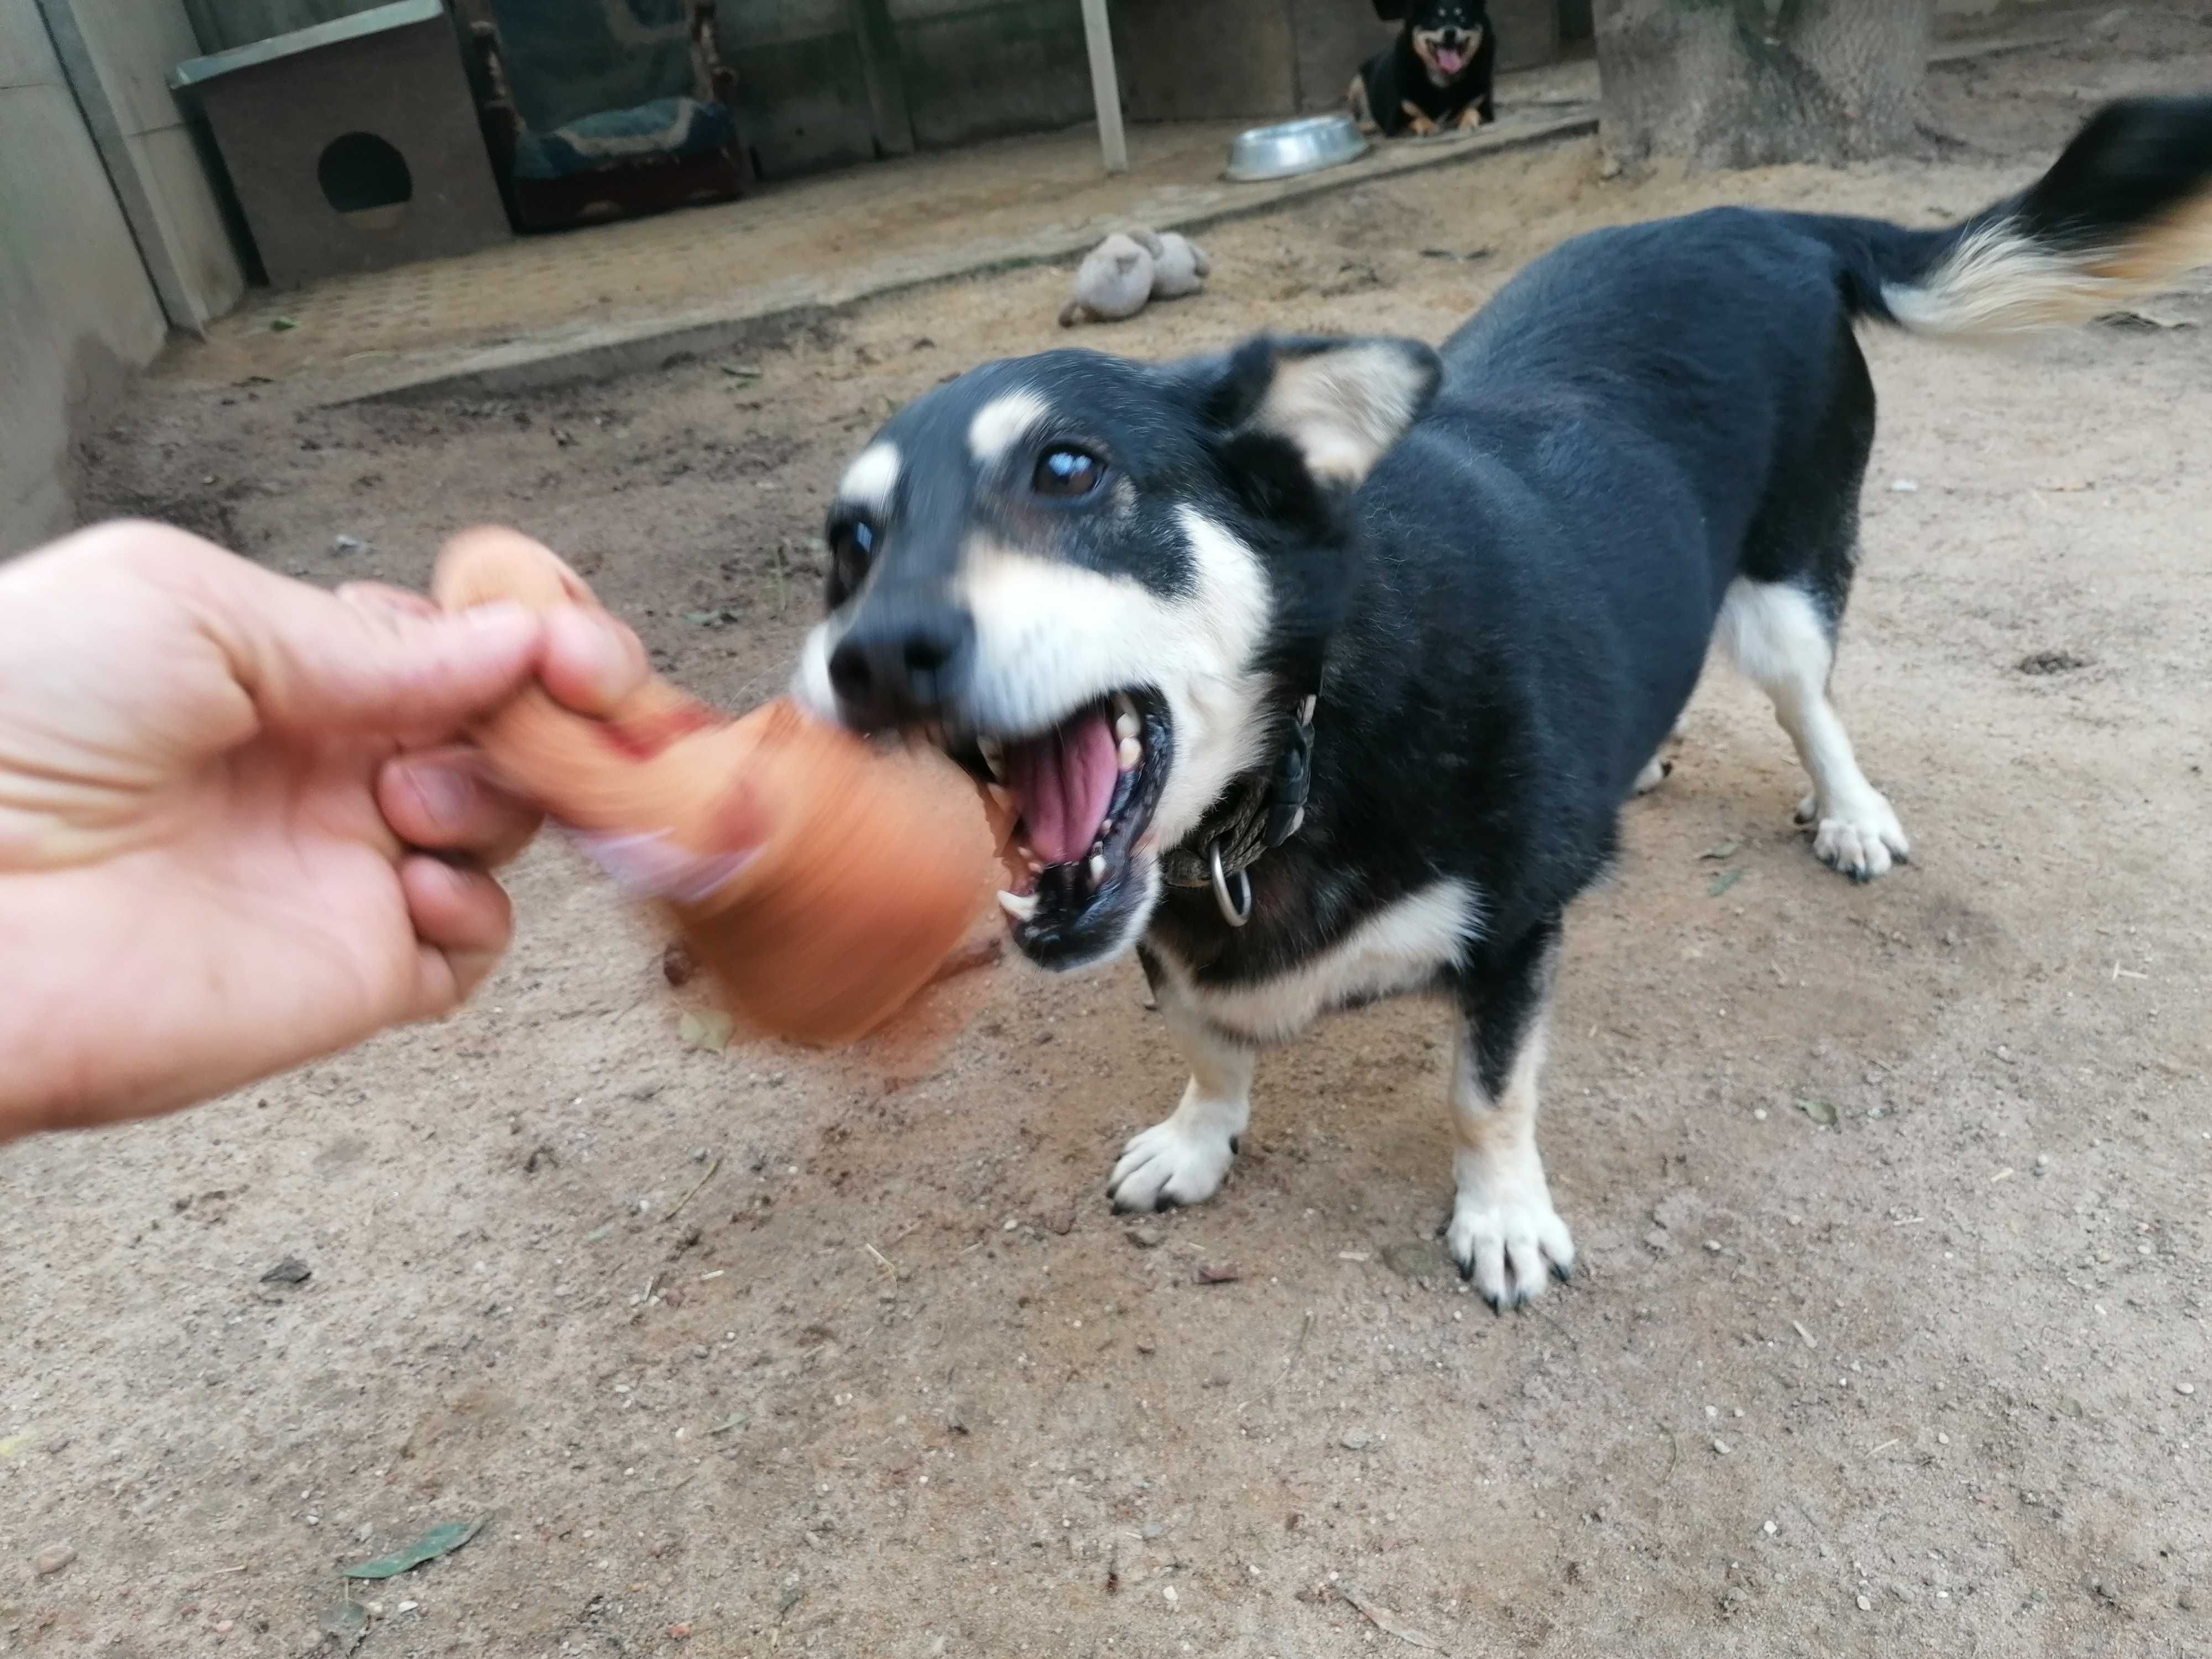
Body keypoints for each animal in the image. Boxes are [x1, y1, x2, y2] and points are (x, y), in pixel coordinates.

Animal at [796, 101, 2212, 1310]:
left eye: (1067, 469)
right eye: (848, 543)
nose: (870, 655)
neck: (1310, 738)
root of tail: (1756, 219)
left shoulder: (1516, 932)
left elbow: (1486, 1094)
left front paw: (1501, 1220)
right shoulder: (1164, 924)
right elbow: (1207, 1036)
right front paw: (1197, 1139)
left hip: (1787, 582)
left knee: (1808, 699)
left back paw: (1849, 810)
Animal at [1336, 0, 1495, 138]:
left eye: (1463, 19)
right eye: (1434, 20)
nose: (1450, 32)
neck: (1443, 82)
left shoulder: (1484, 109)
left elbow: (1471, 110)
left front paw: (1468, 122)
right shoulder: (1395, 123)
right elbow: (1417, 118)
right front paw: (1428, 127)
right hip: (1357, 84)